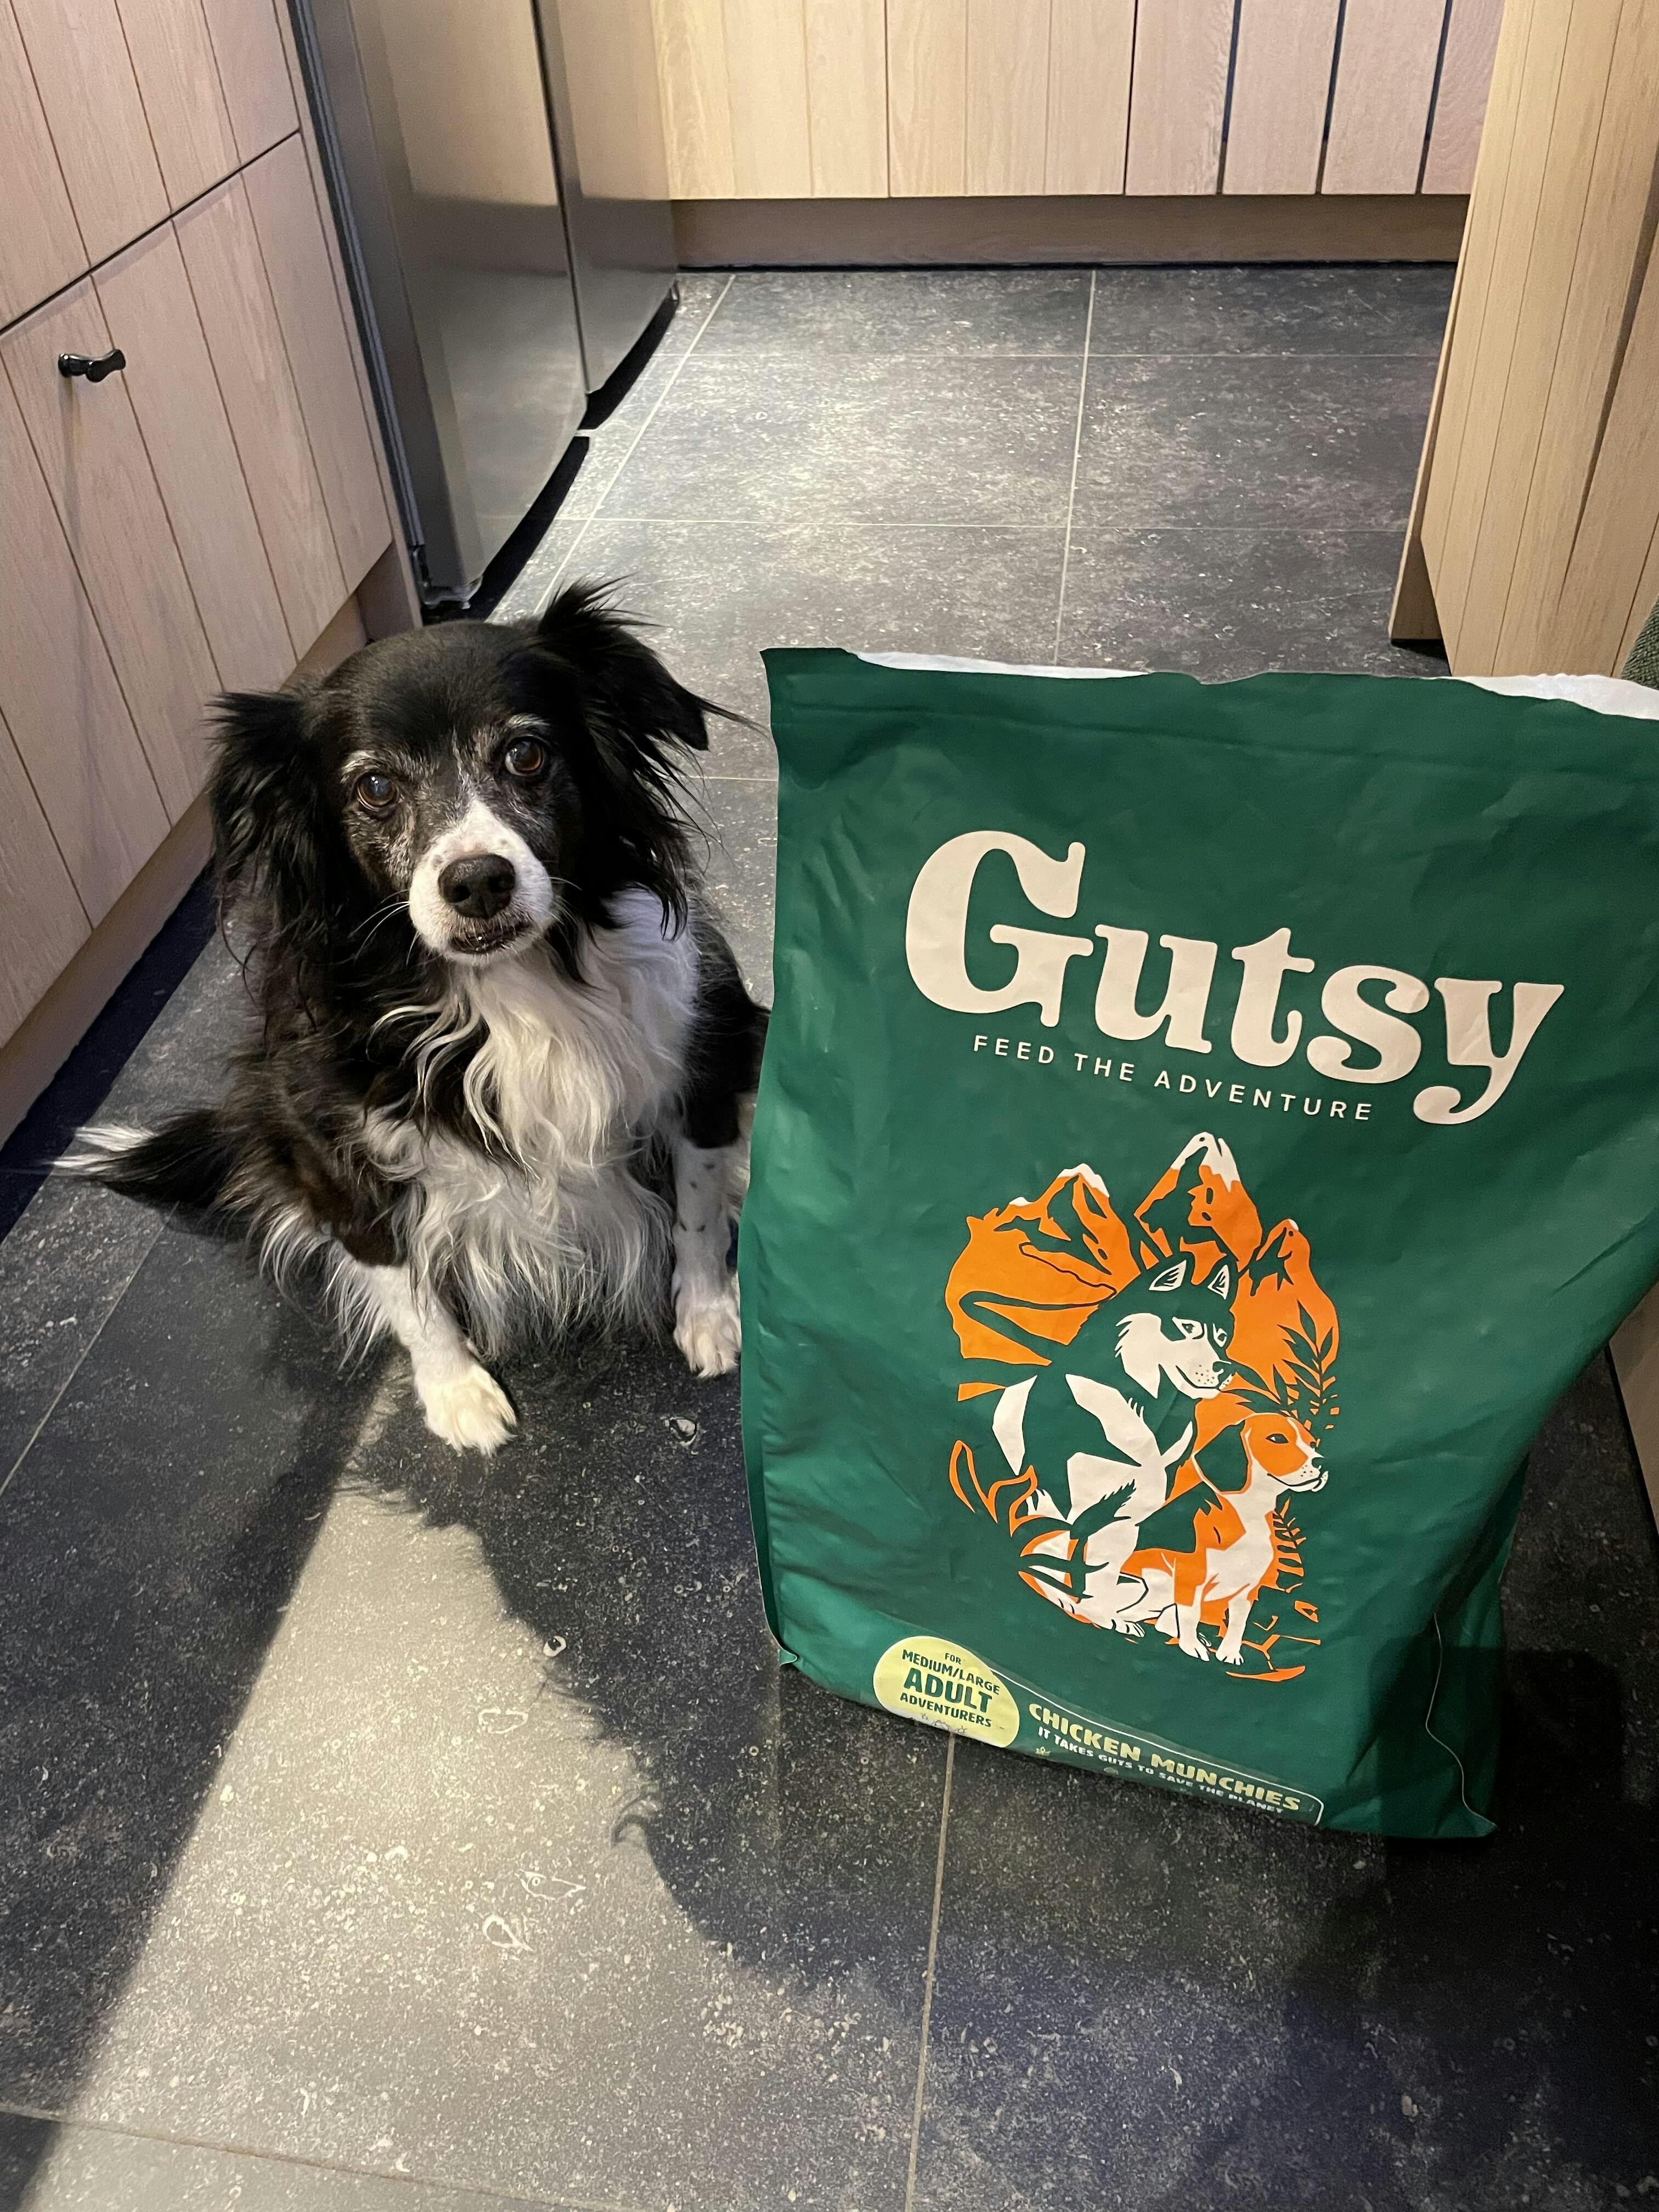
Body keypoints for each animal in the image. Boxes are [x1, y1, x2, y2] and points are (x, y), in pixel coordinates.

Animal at [68, 584, 768, 1455]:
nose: (478, 882)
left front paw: (709, 1316)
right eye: (374, 788)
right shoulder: (336, 1147)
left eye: (526, 755)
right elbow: (401, 1280)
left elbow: (697, 1207)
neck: (511, 991)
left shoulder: (702, 1061)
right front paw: (457, 1392)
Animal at [986, 1254, 1234, 1629]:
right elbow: (1056, 1553)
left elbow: (1101, 1573)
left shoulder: (1125, 1519)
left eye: (1221, 1336)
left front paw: (1099, 1614)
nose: (1226, 1368)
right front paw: (1065, 1600)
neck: (1146, 1410)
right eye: (1188, 1327)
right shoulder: (1065, 1503)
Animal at [1117, 1411, 1327, 1663]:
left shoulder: (1247, 1591)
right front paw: (1191, 1648)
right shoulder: (1191, 1581)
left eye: (1312, 1444)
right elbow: (1190, 1616)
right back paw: (1123, 1623)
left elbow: (1238, 1624)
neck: (1248, 1512)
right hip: (1156, 1589)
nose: (1321, 1462)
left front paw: (1229, 1654)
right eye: (1277, 1438)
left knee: (1160, 1620)